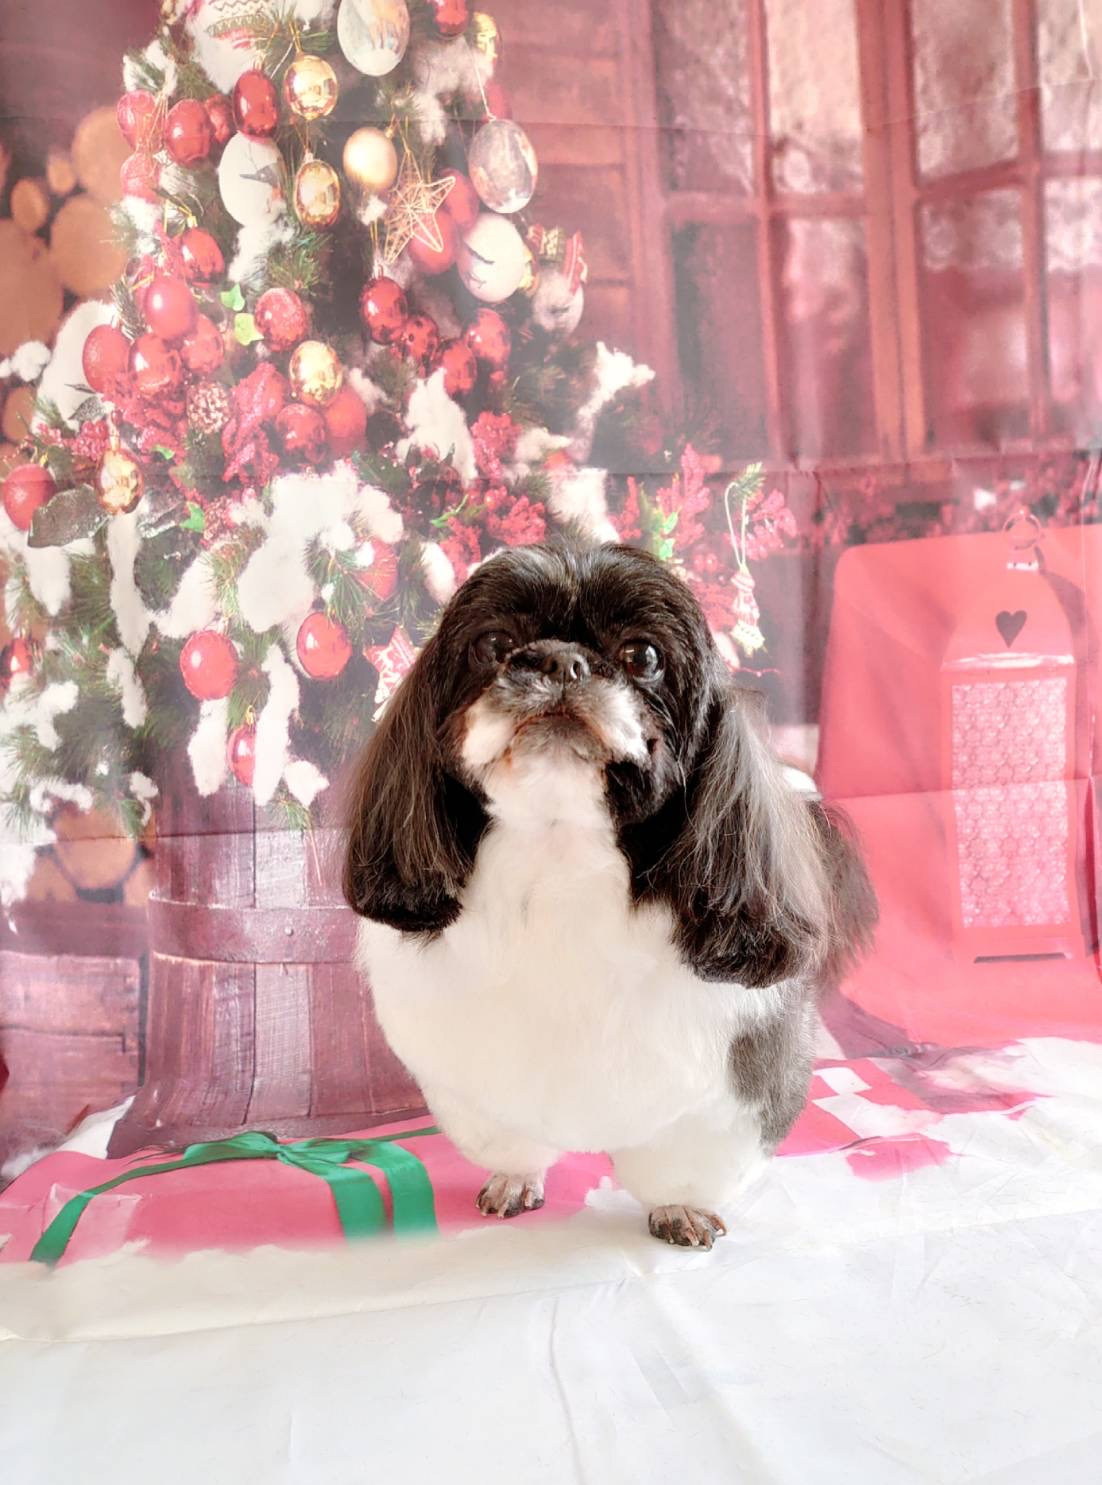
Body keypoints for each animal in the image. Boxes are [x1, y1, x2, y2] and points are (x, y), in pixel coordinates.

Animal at [344, 541, 876, 1248]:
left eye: (642, 656)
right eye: (494, 643)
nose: (559, 661)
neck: (560, 856)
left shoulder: (734, 1085)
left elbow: (690, 1158)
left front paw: (680, 1208)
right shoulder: (474, 1077)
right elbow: (507, 1134)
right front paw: (516, 1178)